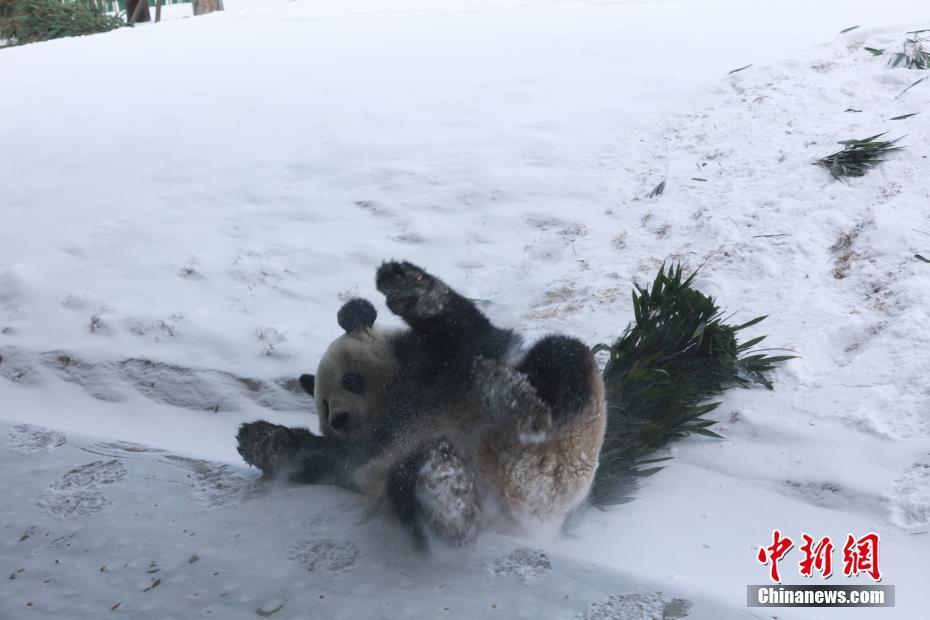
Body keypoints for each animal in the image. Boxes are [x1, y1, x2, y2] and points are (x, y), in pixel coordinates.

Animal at [236, 260, 604, 548]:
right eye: (324, 407)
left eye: (350, 380)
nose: (339, 418)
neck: (397, 405)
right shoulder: (366, 449)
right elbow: (323, 458)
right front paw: (258, 440)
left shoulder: (446, 366)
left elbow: (471, 330)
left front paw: (407, 286)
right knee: (410, 483)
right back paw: (448, 494)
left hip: (573, 444)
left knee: (562, 359)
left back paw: (517, 405)